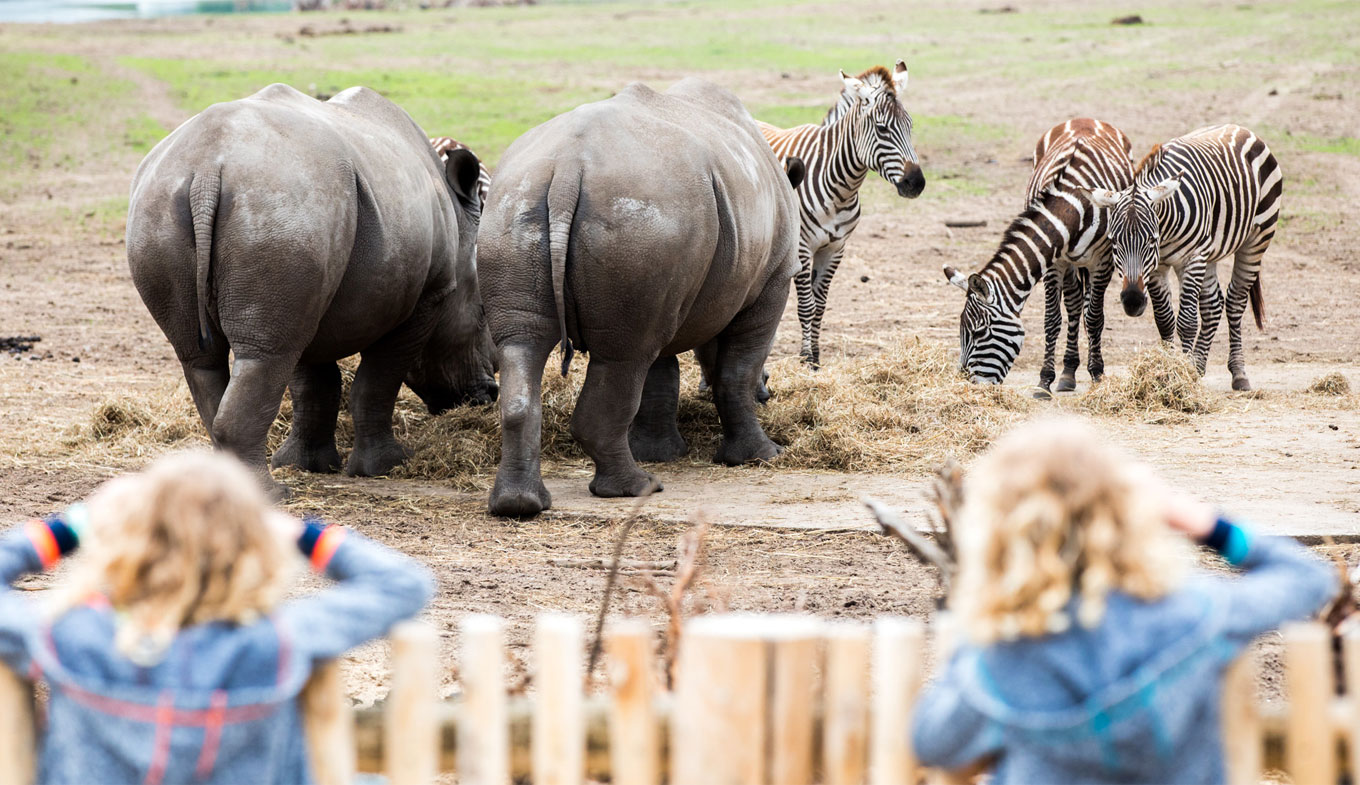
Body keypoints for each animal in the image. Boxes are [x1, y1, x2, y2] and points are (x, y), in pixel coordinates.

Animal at [761, 60, 930, 367]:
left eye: (910, 125)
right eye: (882, 129)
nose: (916, 183)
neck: (840, 188)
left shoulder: (836, 248)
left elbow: (820, 305)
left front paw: (815, 358)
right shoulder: (803, 247)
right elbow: (806, 306)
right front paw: (806, 359)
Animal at [941, 117, 1131, 394]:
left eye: (978, 332)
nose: (969, 385)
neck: (1073, 208)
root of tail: (1083, 118)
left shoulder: (1103, 261)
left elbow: (1094, 317)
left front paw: (1097, 374)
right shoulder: (1054, 262)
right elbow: (1052, 319)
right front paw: (1045, 381)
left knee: (1087, 309)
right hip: (1069, 264)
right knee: (1074, 304)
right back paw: (1068, 373)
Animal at [1077, 123, 1278, 389]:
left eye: (1151, 240)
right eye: (1113, 242)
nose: (1132, 301)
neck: (1166, 227)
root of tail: (1239, 127)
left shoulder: (1192, 258)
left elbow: (1187, 321)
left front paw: (1182, 374)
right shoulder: (1157, 267)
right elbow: (1164, 319)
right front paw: (1168, 370)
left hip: (1256, 239)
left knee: (1235, 301)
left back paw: (1238, 373)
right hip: (1210, 253)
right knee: (1213, 304)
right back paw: (1199, 368)